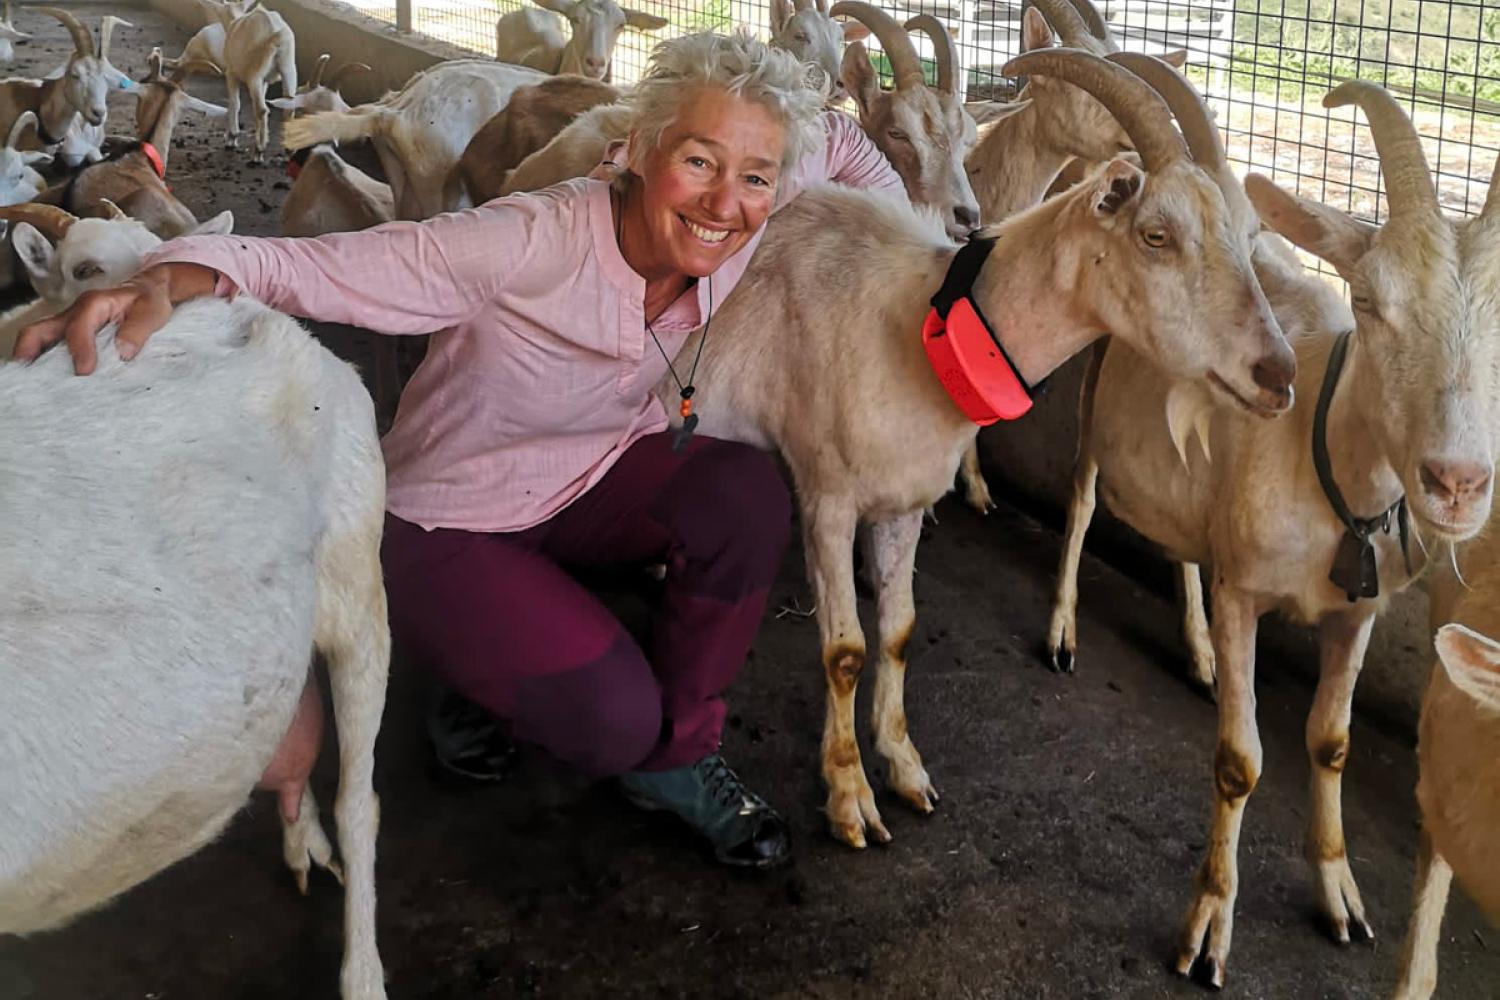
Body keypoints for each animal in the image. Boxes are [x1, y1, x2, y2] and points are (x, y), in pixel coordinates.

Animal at [663, 48, 1296, 851]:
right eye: (1156, 234)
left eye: (1249, 236)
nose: (1278, 374)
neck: (917, 327)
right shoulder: (828, 496)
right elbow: (844, 650)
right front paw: (850, 801)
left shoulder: (901, 501)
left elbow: (898, 630)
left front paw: (906, 769)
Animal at [1044, 72, 1500, 995]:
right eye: (1368, 300)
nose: (1458, 483)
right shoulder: (1248, 592)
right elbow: (1240, 760)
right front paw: (1208, 929)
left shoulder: (1359, 611)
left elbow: (1330, 743)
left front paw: (1342, 896)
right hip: (1098, 388)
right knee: (1080, 499)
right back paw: (1065, 629)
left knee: (1184, 539)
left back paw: (1198, 654)